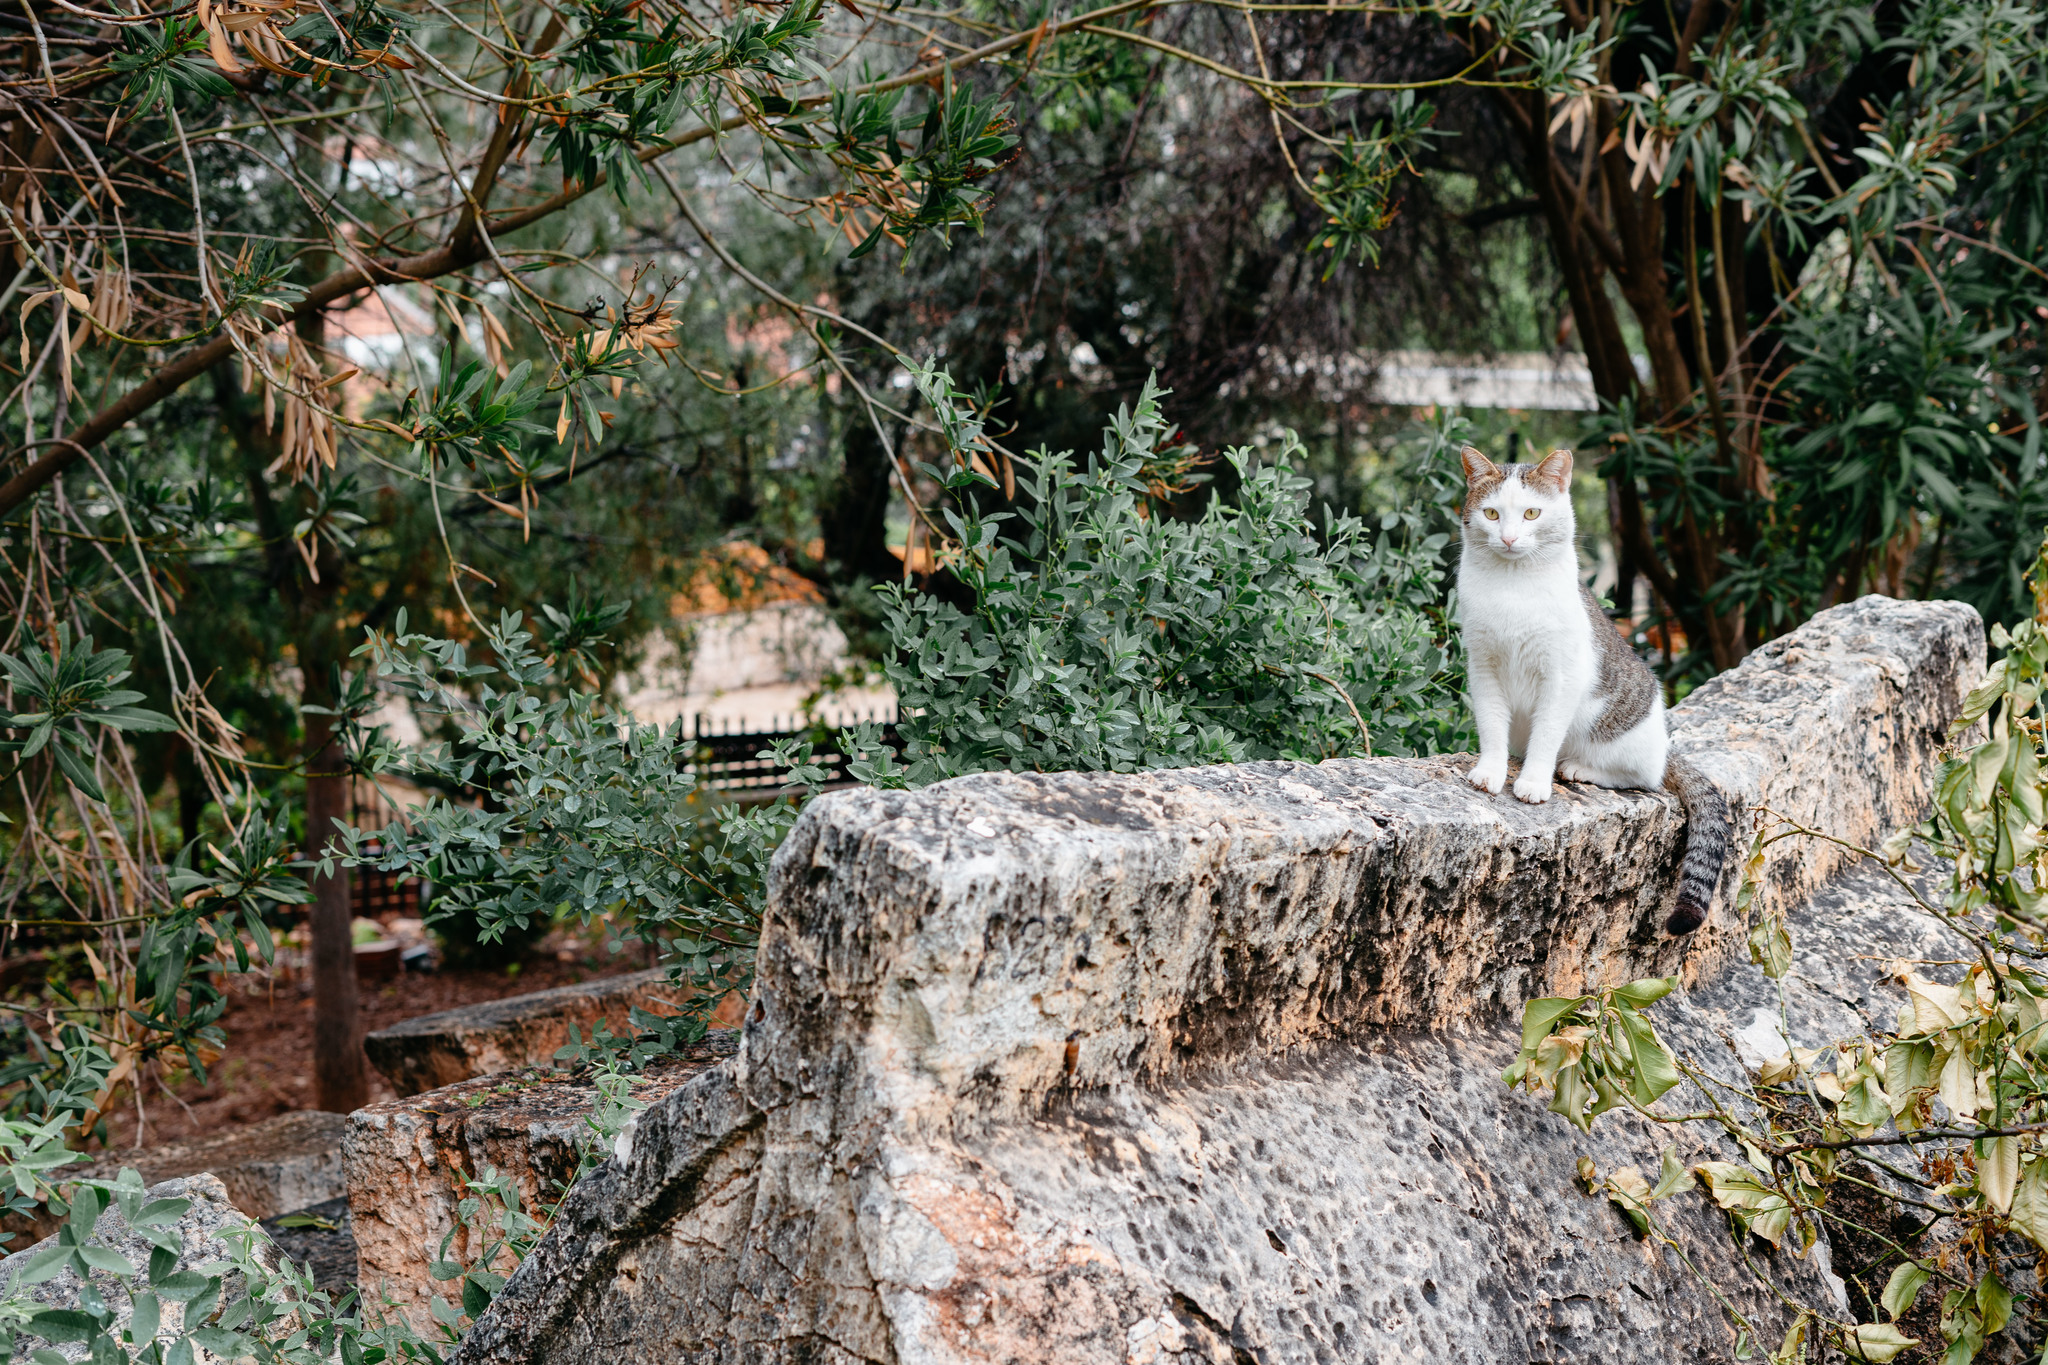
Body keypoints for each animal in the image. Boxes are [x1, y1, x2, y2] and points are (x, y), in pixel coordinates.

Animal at [1458, 444, 1728, 933]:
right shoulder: (1482, 666)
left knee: (1645, 777)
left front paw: (1533, 782)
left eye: (1531, 513)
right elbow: (1491, 726)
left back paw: (1580, 769)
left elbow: (1546, 736)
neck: (1512, 587)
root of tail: (1665, 744)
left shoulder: (1561, 677)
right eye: (1491, 513)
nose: (1508, 539)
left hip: (1619, 736)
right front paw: (1491, 770)